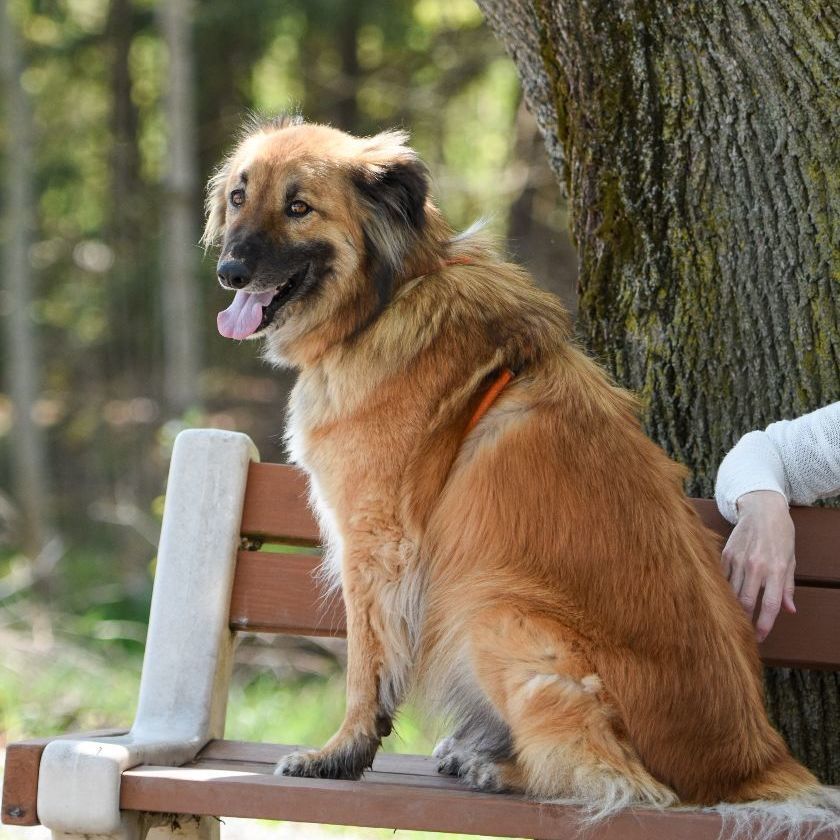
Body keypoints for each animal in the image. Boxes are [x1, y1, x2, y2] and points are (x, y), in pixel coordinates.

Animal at [205, 116, 840, 828]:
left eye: (298, 207)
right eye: (239, 197)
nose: (229, 271)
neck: (391, 297)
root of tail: (751, 764)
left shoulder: (376, 543)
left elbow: (366, 666)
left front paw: (340, 754)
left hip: (495, 608)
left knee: (622, 783)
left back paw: (500, 767)